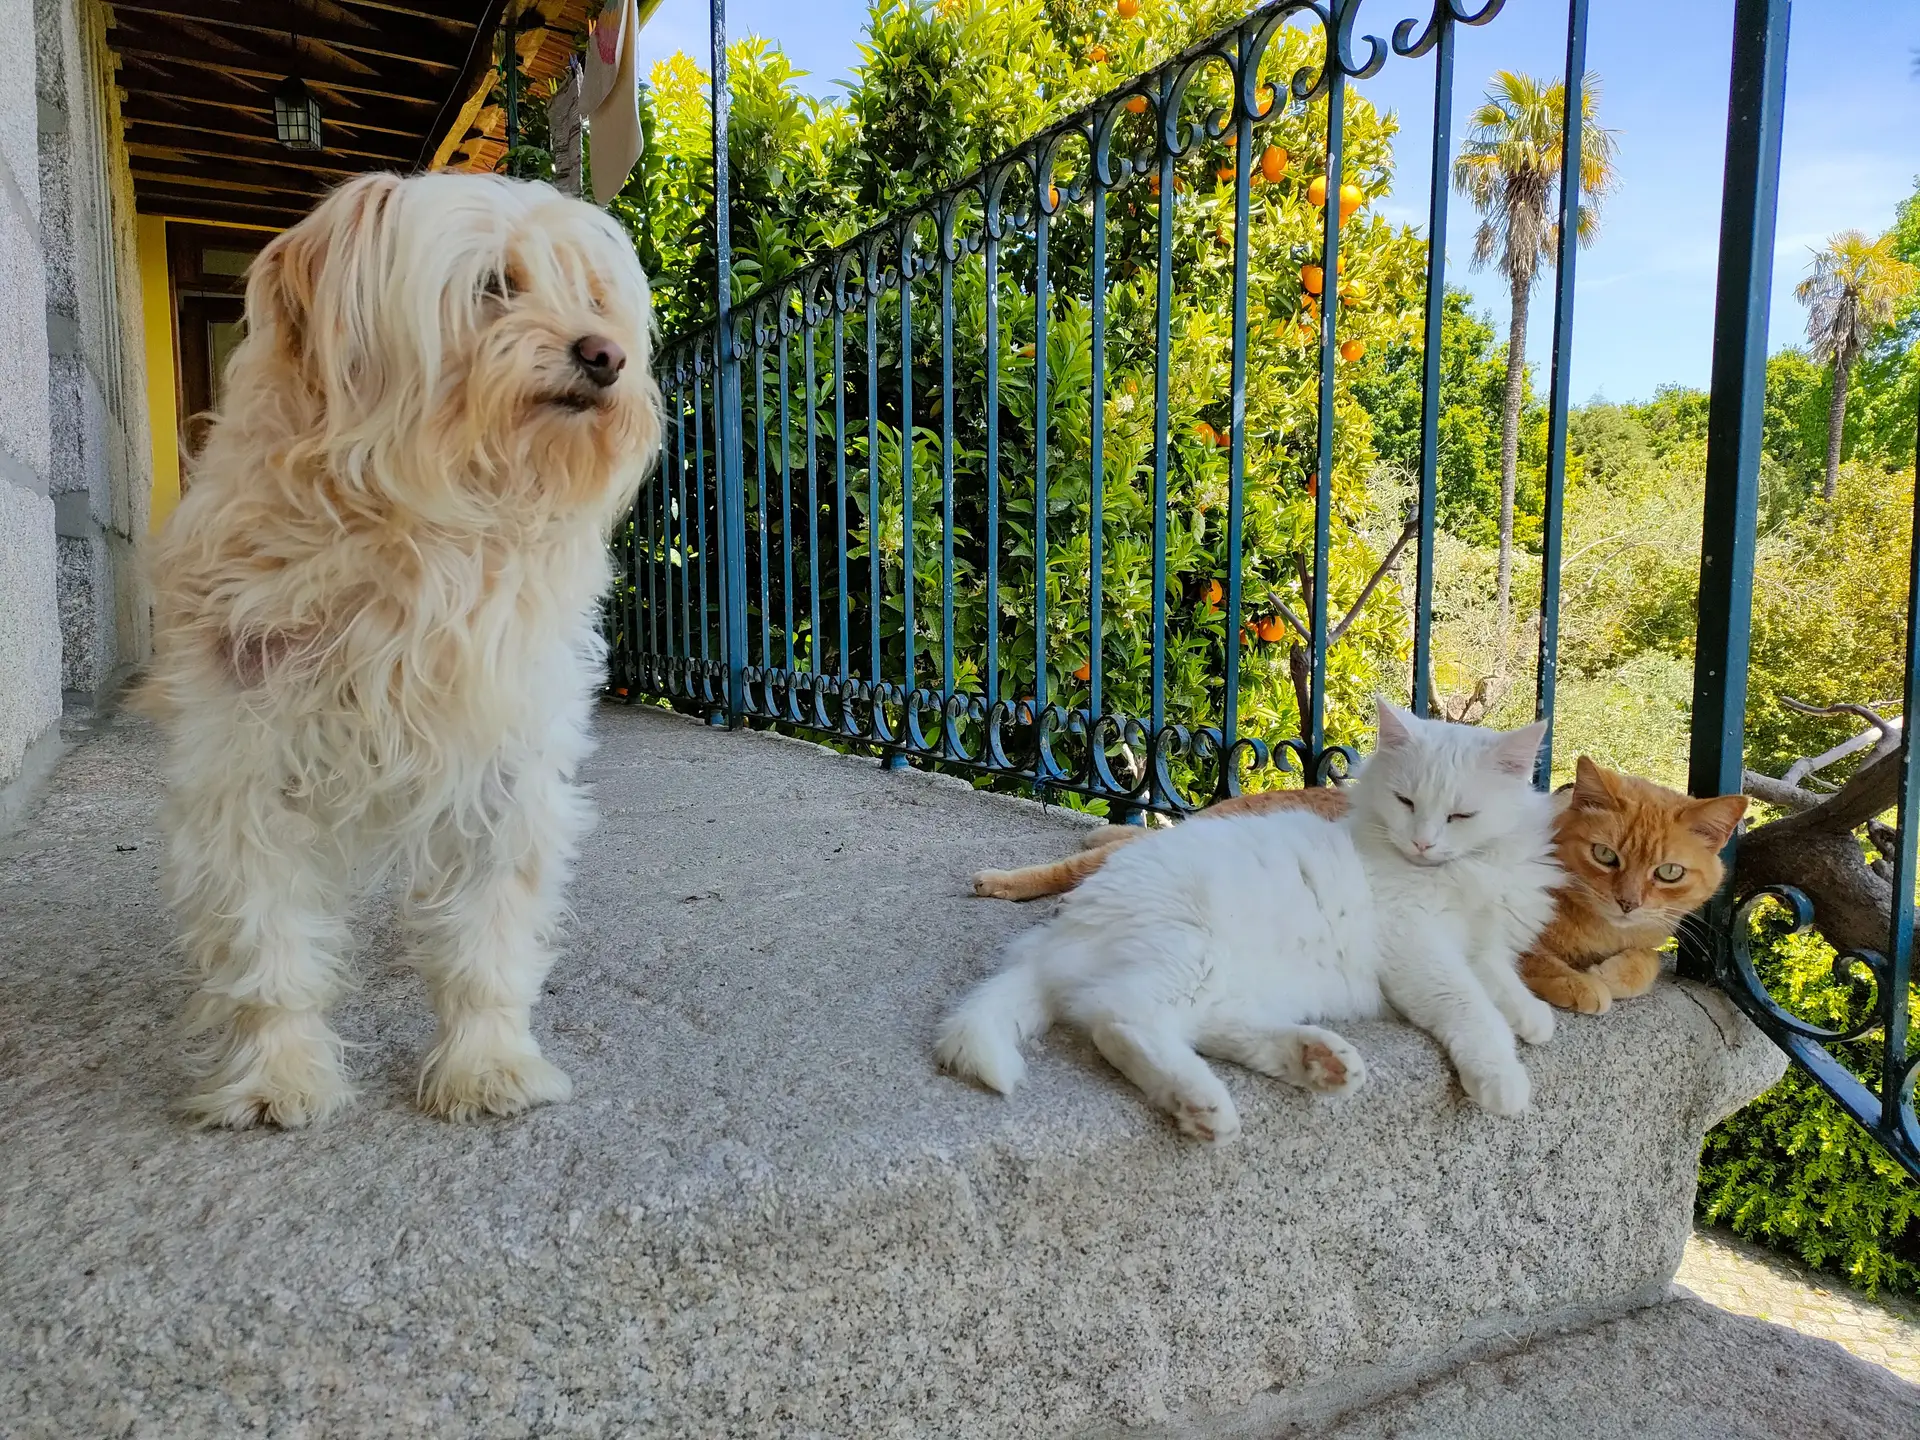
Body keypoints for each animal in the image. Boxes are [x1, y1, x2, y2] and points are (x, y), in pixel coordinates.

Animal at [142, 174, 660, 1136]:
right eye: (496, 285)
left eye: (595, 297)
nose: (607, 355)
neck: (417, 537)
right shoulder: (243, 768)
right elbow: (266, 939)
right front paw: (277, 1070)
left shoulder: (506, 764)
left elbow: (490, 932)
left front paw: (487, 1061)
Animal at [936, 706, 1566, 1144]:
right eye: (1405, 802)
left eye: (1460, 815)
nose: (1423, 843)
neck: (1460, 870)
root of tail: (1050, 941)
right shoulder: (1418, 946)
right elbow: (1472, 1006)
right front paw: (1502, 1077)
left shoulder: (1482, 940)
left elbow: (1499, 978)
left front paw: (1533, 1017)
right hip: (1190, 954)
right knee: (1121, 1021)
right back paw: (1203, 1104)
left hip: (1241, 982)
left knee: (1206, 1027)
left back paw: (1317, 1061)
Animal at [975, 756, 1743, 1013]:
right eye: (1605, 856)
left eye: (1668, 873)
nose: (1629, 899)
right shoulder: (1514, 942)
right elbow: (1551, 966)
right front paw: (1587, 986)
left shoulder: (1649, 934)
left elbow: (1645, 962)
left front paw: (1619, 970)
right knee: (1088, 864)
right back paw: (1003, 881)